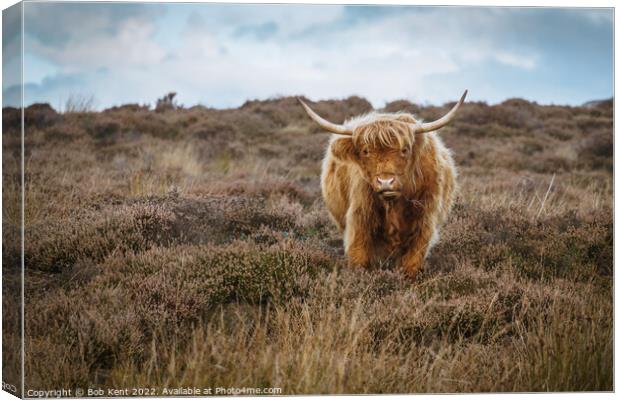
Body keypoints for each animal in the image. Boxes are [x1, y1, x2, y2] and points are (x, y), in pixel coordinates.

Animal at [298, 91, 468, 278]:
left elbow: (412, 261)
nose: (386, 182)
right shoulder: (360, 218)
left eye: (404, 149)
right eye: (365, 151)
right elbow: (359, 256)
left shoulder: (425, 221)